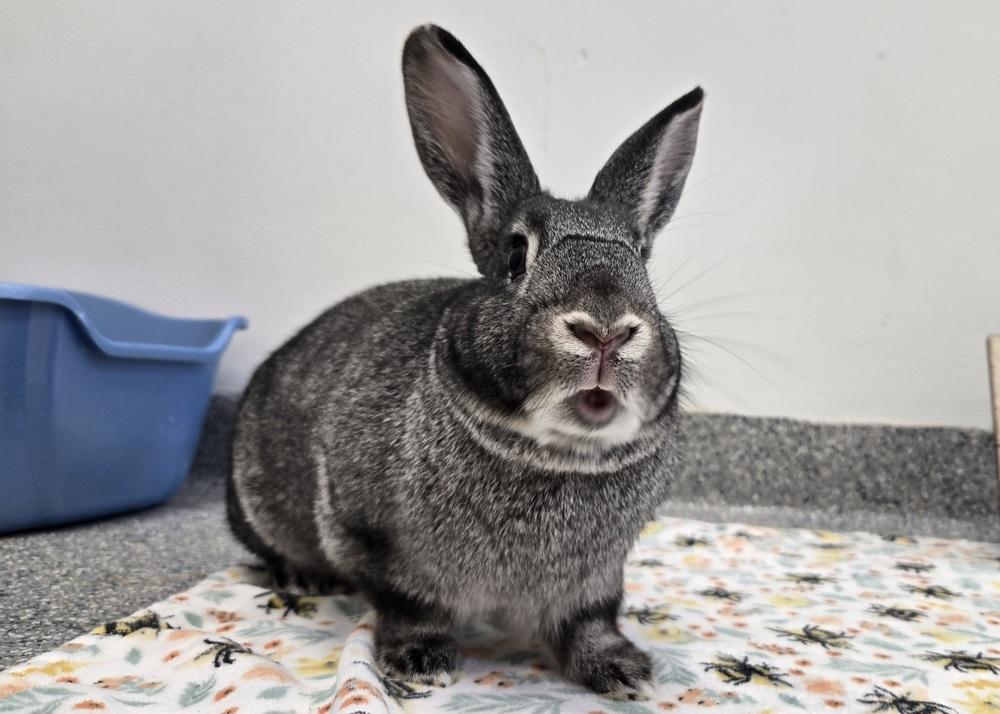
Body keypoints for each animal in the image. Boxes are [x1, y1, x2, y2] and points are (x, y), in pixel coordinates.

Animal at [227, 24, 703, 700]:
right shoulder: (376, 541)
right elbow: (407, 605)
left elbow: (592, 620)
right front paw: (422, 662)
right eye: (515, 256)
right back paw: (305, 578)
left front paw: (623, 672)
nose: (606, 330)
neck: (557, 454)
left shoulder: (598, 578)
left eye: (641, 261)